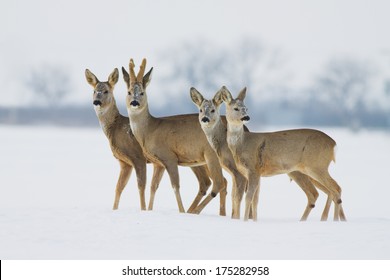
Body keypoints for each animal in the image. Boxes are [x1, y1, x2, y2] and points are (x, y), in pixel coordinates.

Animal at [85, 68, 213, 212]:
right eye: (94, 91)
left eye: (106, 91)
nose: (97, 101)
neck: (115, 128)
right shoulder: (124, 162)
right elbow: (119, 187)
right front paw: (114, 209)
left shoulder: (137, 157)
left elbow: (141, 186)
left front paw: (143, 209)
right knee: (209, 182)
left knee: (208, 181)